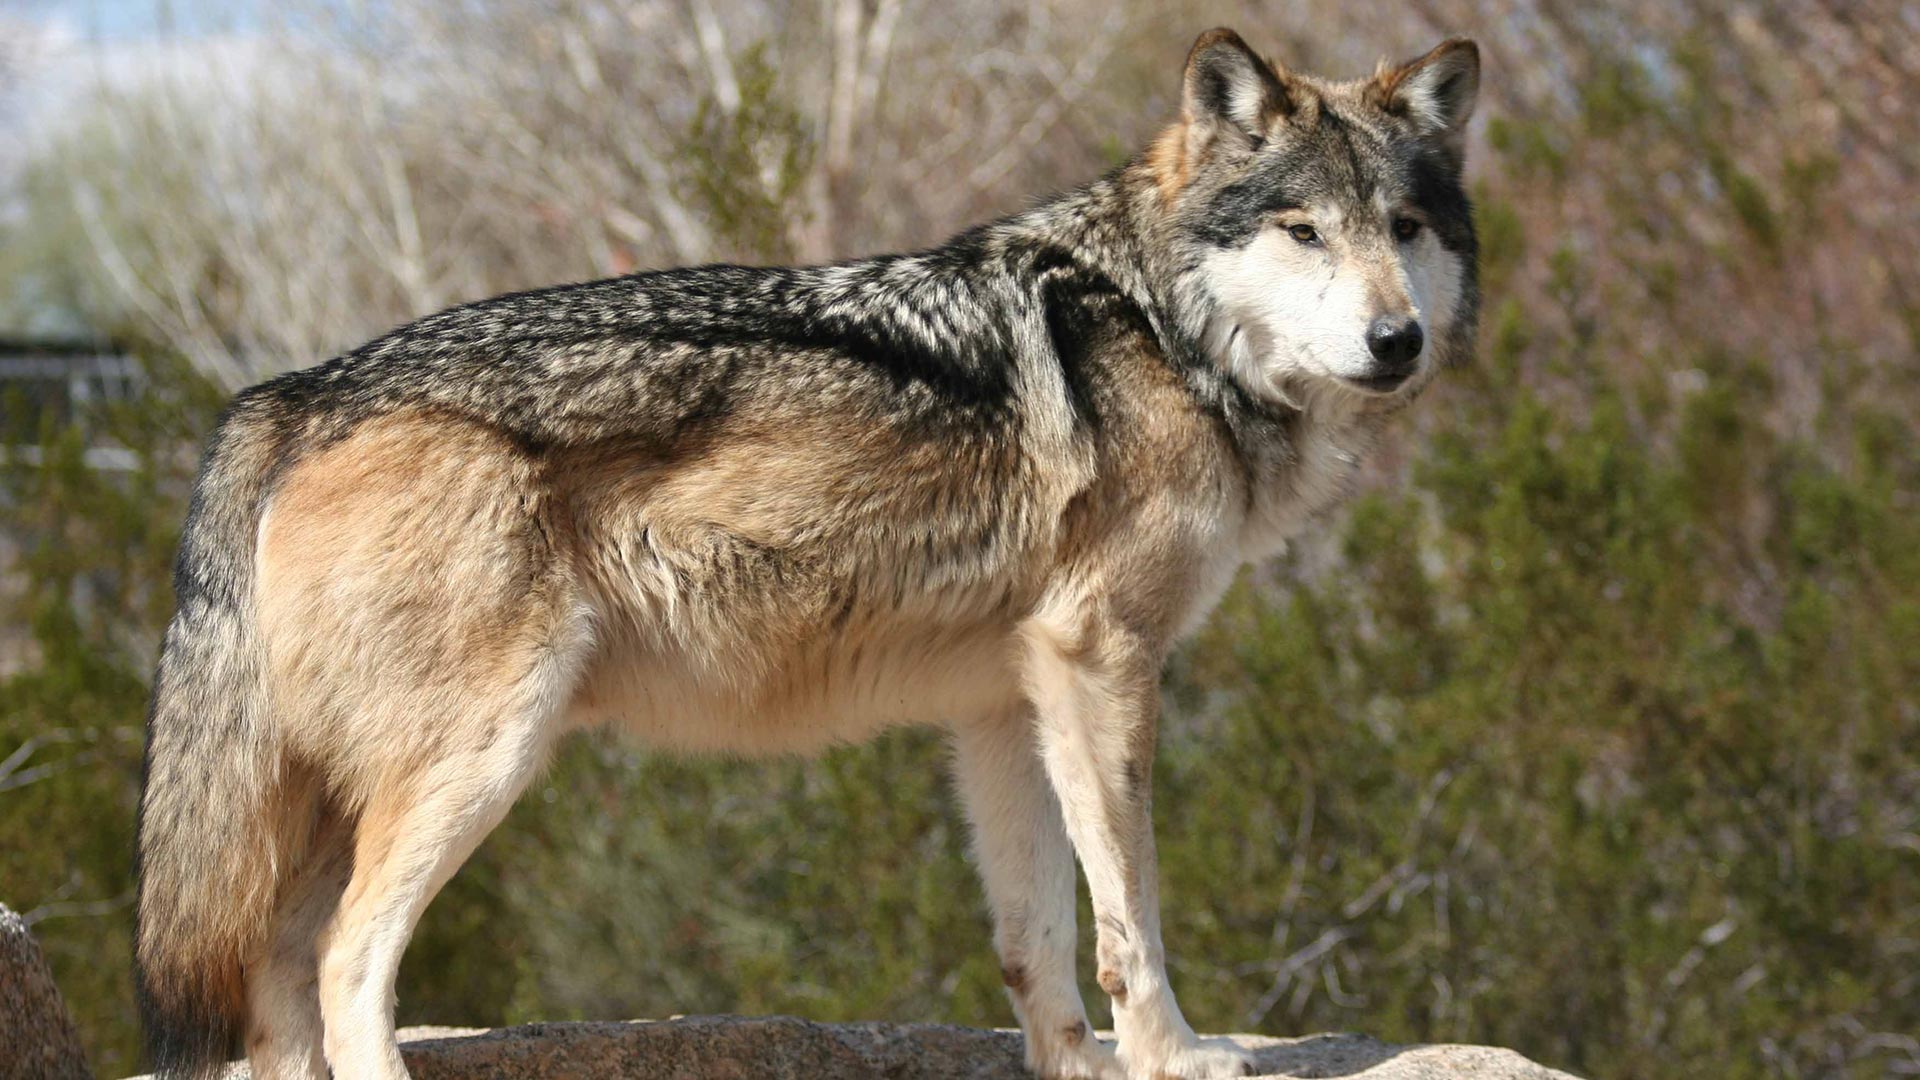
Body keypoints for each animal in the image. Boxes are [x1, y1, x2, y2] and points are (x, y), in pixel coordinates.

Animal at [139, 27, 1482, 1076]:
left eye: (1403, 226)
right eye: (1303, 231)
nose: (1398, 341)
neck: (1162, 327)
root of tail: (288, 393)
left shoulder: (1007, 703)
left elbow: (1038, 939)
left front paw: (1080, 1067)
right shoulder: (1102, 663)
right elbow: (1129, 917)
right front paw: (1174, 1056)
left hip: (346, 798)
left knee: (277, 985)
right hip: (480, 757)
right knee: (347, 968)